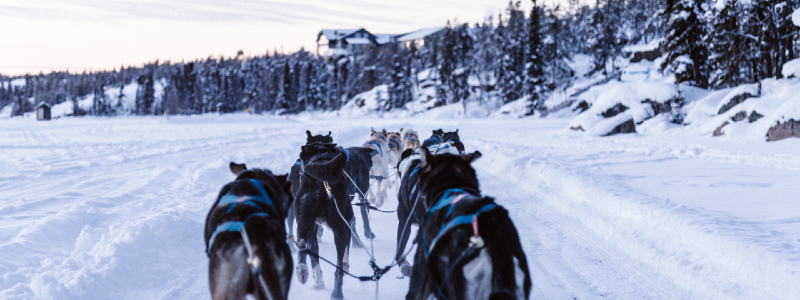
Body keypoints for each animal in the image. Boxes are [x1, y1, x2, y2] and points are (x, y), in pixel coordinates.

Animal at [294, 143, 372, 300]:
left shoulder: (313, 230)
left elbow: (314, 258)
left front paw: (318, 282)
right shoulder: (347, 220)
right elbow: (348, 244)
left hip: (303, 222)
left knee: (302, 244)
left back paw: (302, 271)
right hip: (339, 225)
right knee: (338, 268)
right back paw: (337, 293)